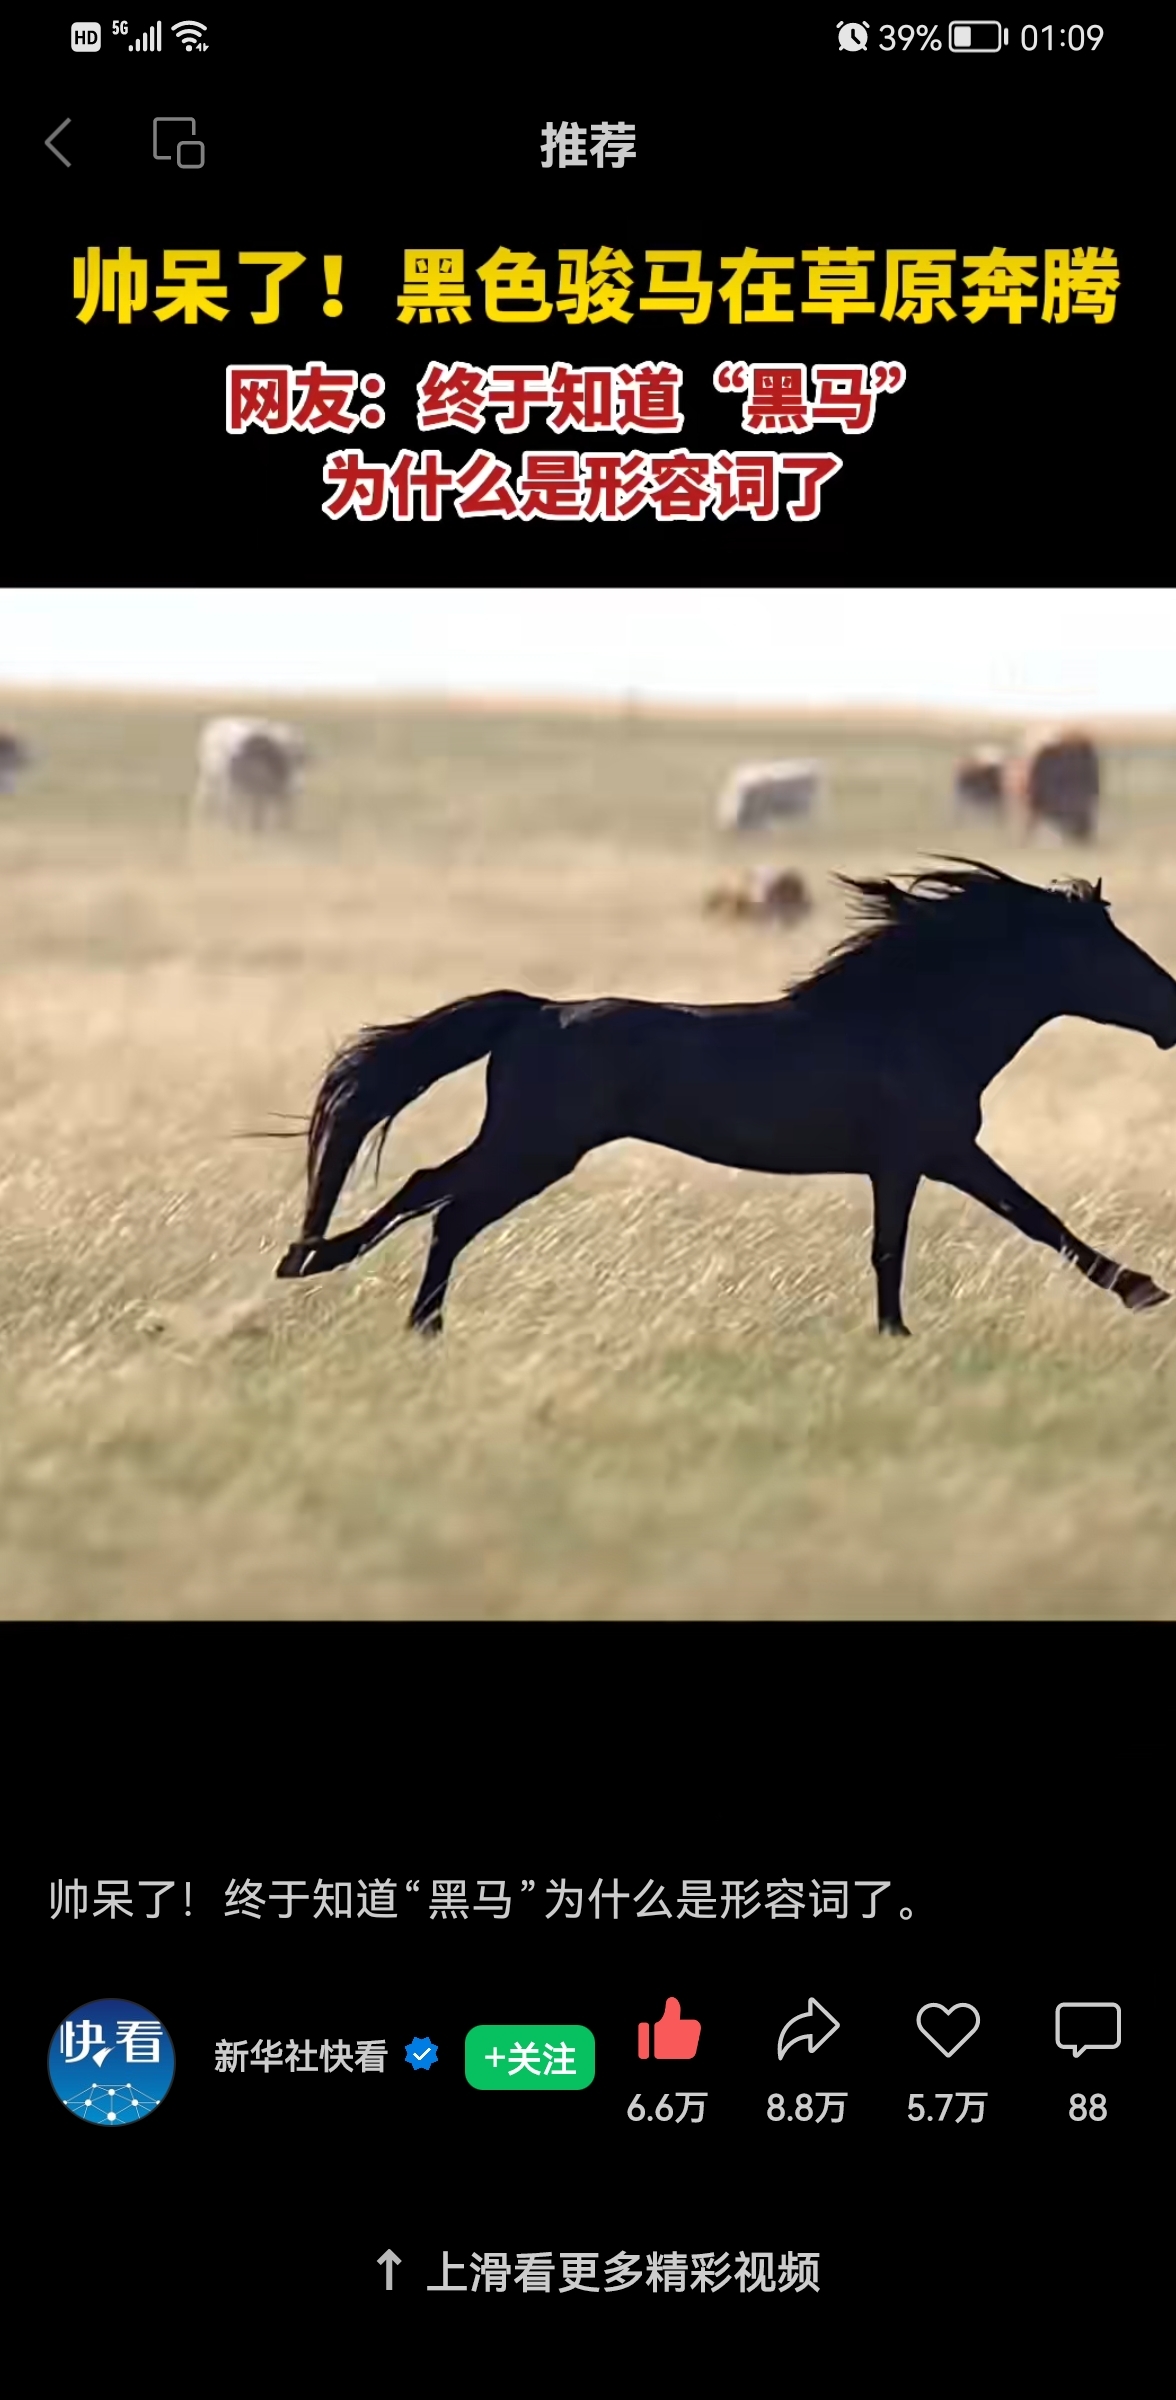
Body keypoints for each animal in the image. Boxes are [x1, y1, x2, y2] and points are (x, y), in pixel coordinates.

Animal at [278, 864, 1176, 1344]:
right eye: (1117, 953)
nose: (1172, 1013)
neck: (920, 1024)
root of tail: (535, 1010)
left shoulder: (909, 1165)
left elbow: (918, 1242)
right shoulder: (930, 1156)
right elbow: (1020, 1221)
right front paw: (1141, 1288)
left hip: (533, 1145)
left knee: (438, 1202)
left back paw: (378, 1297)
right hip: (538, 1145)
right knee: (440, 1201)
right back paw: (351, 1283)